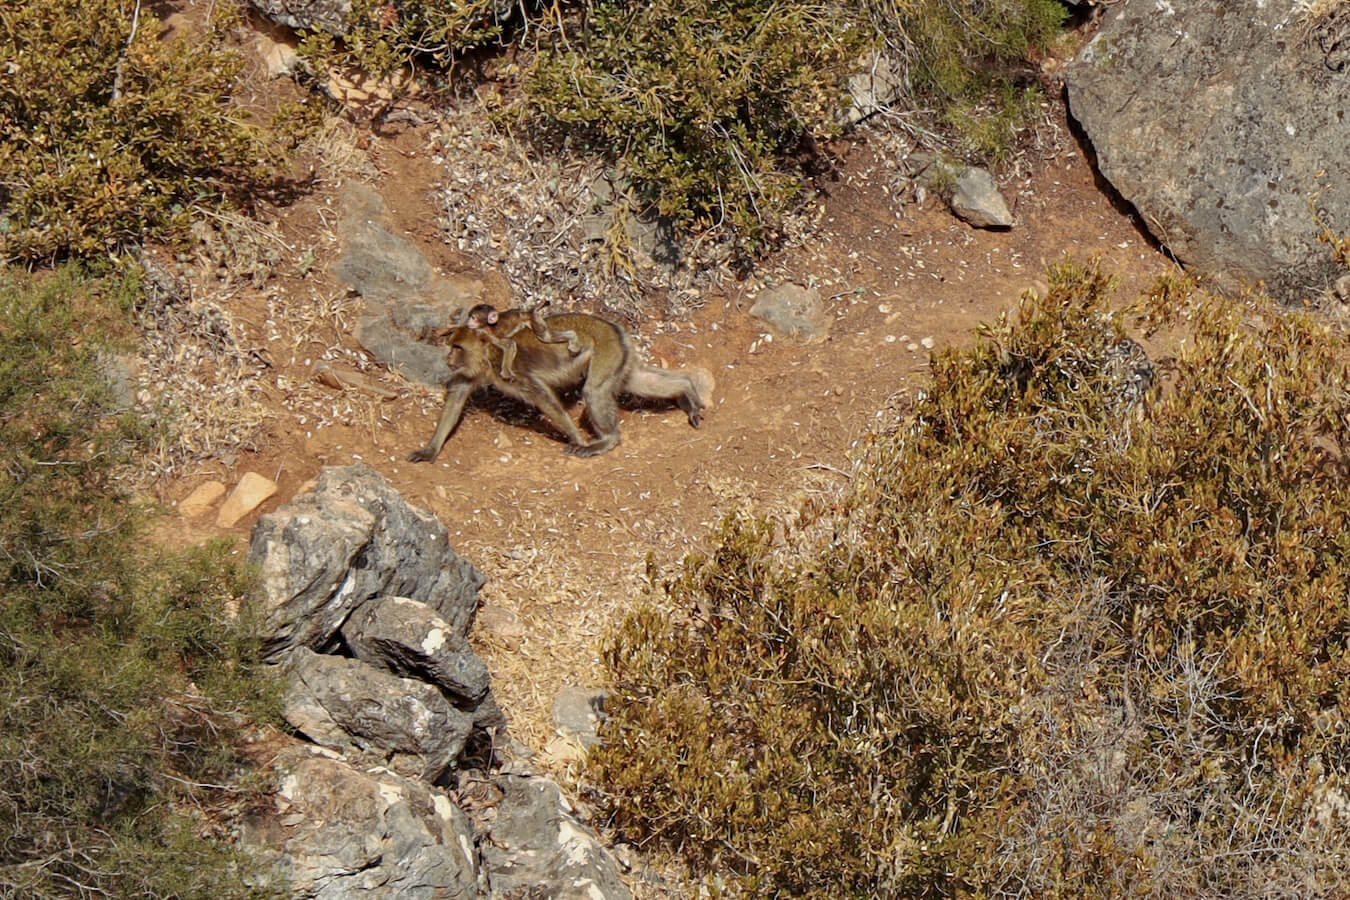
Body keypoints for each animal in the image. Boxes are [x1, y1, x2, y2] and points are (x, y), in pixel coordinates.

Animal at [408, 312, 711, 461]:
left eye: (457, 348)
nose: (448, 358)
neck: (488, 356)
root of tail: (614, 327)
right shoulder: (471, 373)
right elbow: (456, 398)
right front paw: (430, 450)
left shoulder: (515, 374)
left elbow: (547, 402)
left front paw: (577, 438)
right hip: (619, 354)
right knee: (637, 380)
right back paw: (686, 390)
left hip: (606, 348)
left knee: (594, 392)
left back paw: (608, 440)